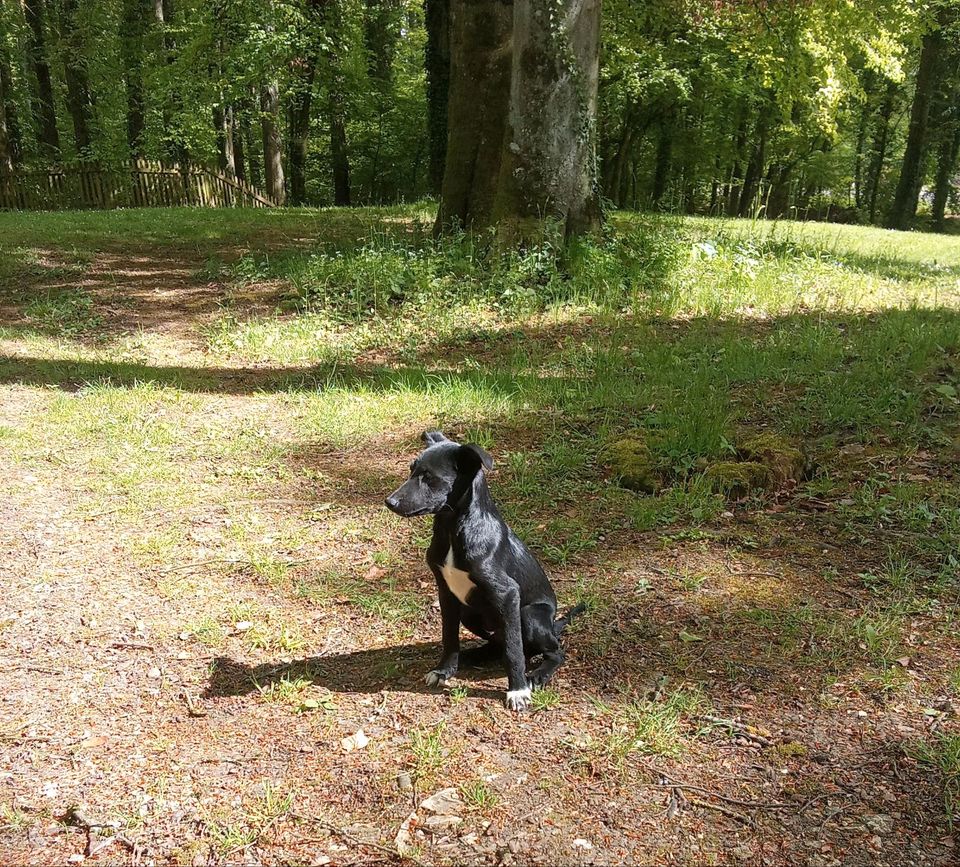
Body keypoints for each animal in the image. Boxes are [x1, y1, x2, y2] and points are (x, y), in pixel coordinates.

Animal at [384, 430, 584, 708]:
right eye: (411, 470)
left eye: (429, 477)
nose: (389, 502)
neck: (452, 529)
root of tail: (555, 624)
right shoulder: (446, 593)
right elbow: (449, 637)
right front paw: (444, 670)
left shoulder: (507, 594)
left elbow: (513, 650)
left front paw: (518, 690)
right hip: (469, 613)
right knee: (499, 643)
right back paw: (471, 656)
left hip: (529, 616)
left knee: (553, 651)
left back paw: (538, 674)